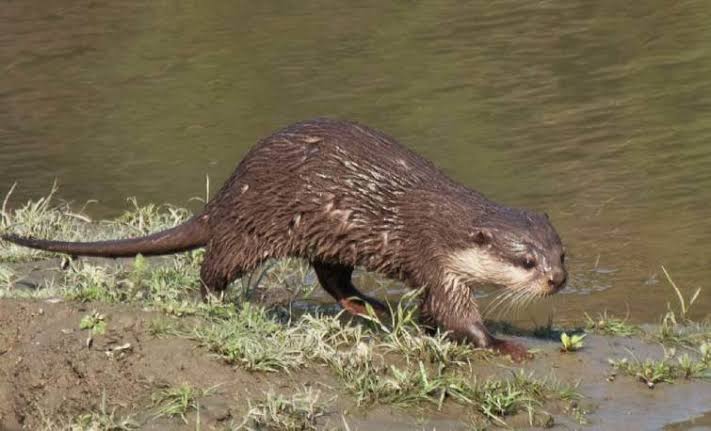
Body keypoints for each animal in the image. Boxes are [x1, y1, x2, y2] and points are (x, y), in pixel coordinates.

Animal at [2, 118, 567, 360]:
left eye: (561, 253)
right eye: (525, 262)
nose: (558, 280)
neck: (445, 223)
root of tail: (230, 191)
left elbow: (437, 310)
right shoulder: (434, 259)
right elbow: (454, 312)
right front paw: (501, 344)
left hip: (329, 237)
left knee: (332, 277)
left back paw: (368, 306)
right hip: (252, 229)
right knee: (213, 265)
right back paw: (214, 300)